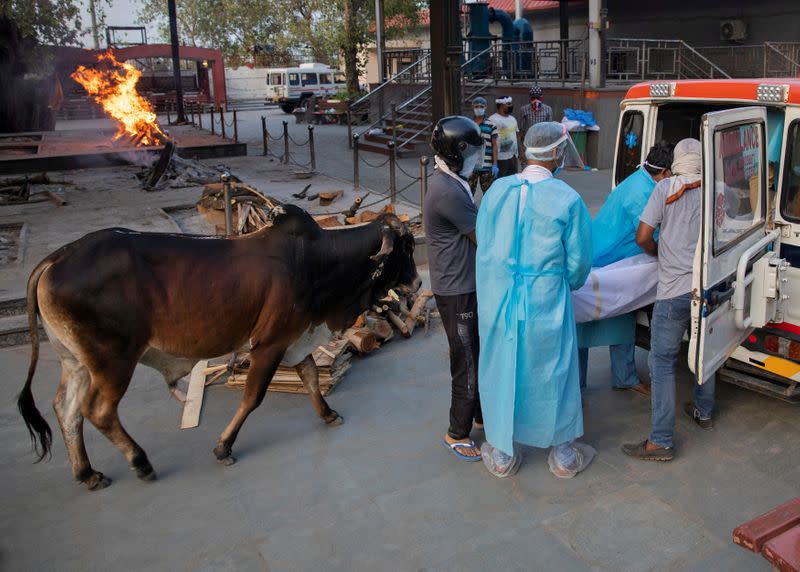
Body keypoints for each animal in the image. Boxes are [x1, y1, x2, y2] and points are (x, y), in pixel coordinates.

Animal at [17, 206, 418, 492]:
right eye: (407, 247)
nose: (415, 281)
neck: (316, 261)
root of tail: (57, 258)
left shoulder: (294, 337)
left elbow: (308, 375)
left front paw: (328, 413)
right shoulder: (270, 343)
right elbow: (253, 397)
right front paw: (224, 447)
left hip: (76, 361)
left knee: (66, 409)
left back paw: (87, 473)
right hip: (113, 361)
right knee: (97, 411)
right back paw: (140, 462)